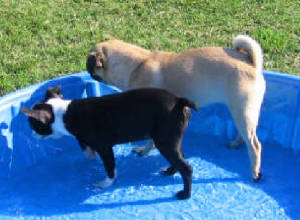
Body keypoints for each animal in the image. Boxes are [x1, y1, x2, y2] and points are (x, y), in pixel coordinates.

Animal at [21, 85, 199, 199]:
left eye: (33, 124)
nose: (31, 134)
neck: (64, 113)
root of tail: (178, 101)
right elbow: (85, 147)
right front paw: (88, 153)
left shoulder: (105, 148)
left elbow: (109, 167)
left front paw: (106, 183)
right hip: (172, 139)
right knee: (180, 157)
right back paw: (170, 171)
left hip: (165, 142)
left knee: (186, 168)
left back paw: (185, 194)